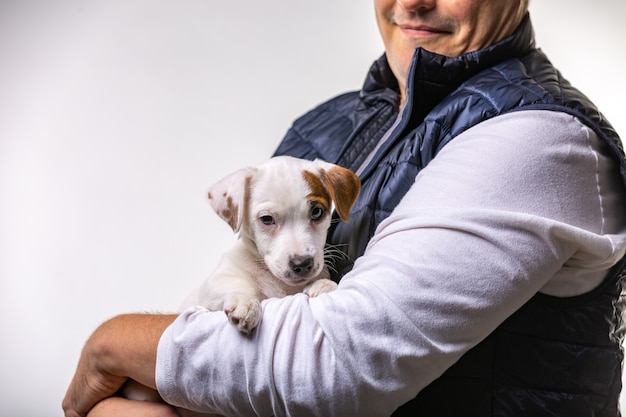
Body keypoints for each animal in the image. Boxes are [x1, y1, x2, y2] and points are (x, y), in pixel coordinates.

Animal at [180, 154, 360, 334]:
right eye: (266, 219)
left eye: (317, 212)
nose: (302, 264)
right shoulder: (210, 288)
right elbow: (235, 284)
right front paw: (246, 301)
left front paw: (325, 285)